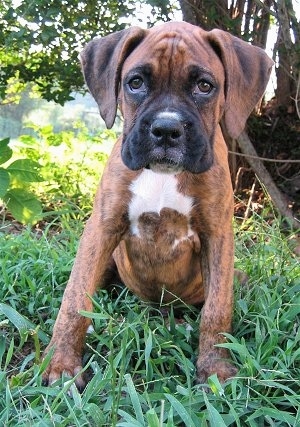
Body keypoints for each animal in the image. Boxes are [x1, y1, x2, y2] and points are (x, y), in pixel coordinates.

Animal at [42, 21, 274, 390]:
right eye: (135, 82)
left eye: (204, 86)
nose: (166, 129)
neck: (164, 175)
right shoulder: (101, 230)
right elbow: (75, 298)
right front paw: (61, 363)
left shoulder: (218, 236)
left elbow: (217, 309)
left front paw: (216, 368)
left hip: (237, 276)